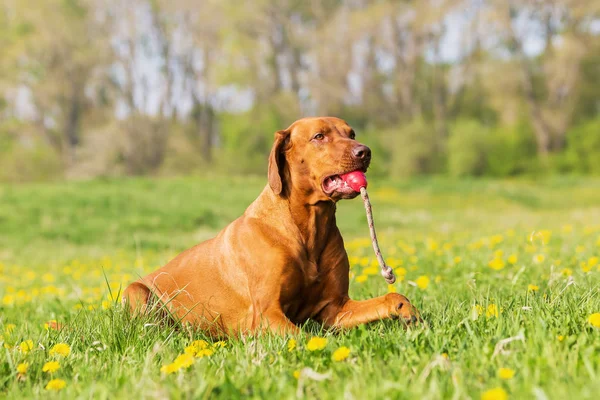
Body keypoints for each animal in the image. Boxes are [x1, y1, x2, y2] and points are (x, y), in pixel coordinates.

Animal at [123, 117, 418, 336]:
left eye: (351, 132)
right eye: (319, 136)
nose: (365, 151)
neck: (308, 228)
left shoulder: (336, 308)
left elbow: (392, 296)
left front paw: (408, 312)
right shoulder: (266, 313)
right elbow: (305, 337)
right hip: (136, 292)